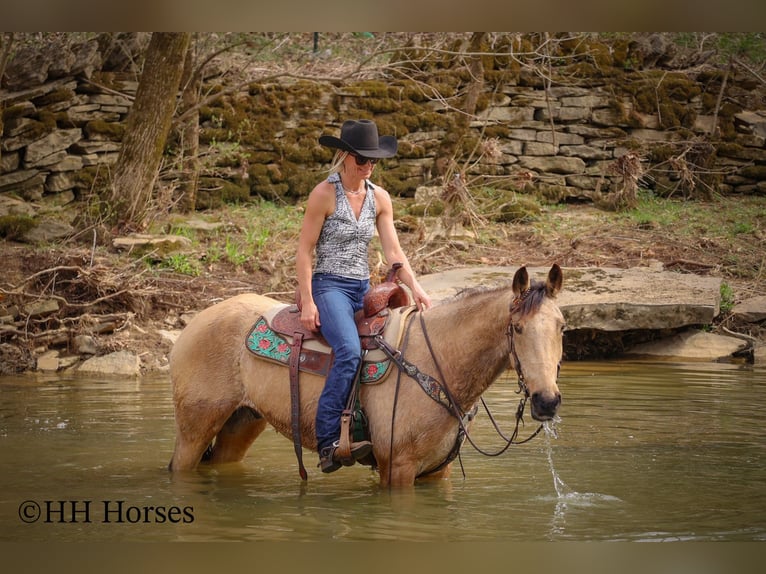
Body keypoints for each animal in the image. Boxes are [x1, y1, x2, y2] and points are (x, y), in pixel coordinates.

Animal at [168, 264, 564, 487]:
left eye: (561, 326)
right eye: (518, 328)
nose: (547, 401)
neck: (437, 361)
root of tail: (196, 321)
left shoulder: (438, 473)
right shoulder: (397, 470)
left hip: (242, 422)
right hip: (194, 428)